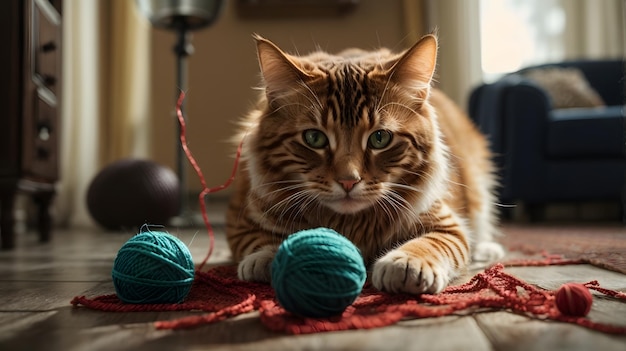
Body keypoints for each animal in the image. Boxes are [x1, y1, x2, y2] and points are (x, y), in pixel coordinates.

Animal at [224, 35, 502, 294]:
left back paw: (488, 250)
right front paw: (271, 257)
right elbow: (261, 241)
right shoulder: (241, 224)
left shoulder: (446, 225)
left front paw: (406, 262)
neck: (350, 224)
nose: (349, 180)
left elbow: (430, 243)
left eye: (380, 138)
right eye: (314, 138)